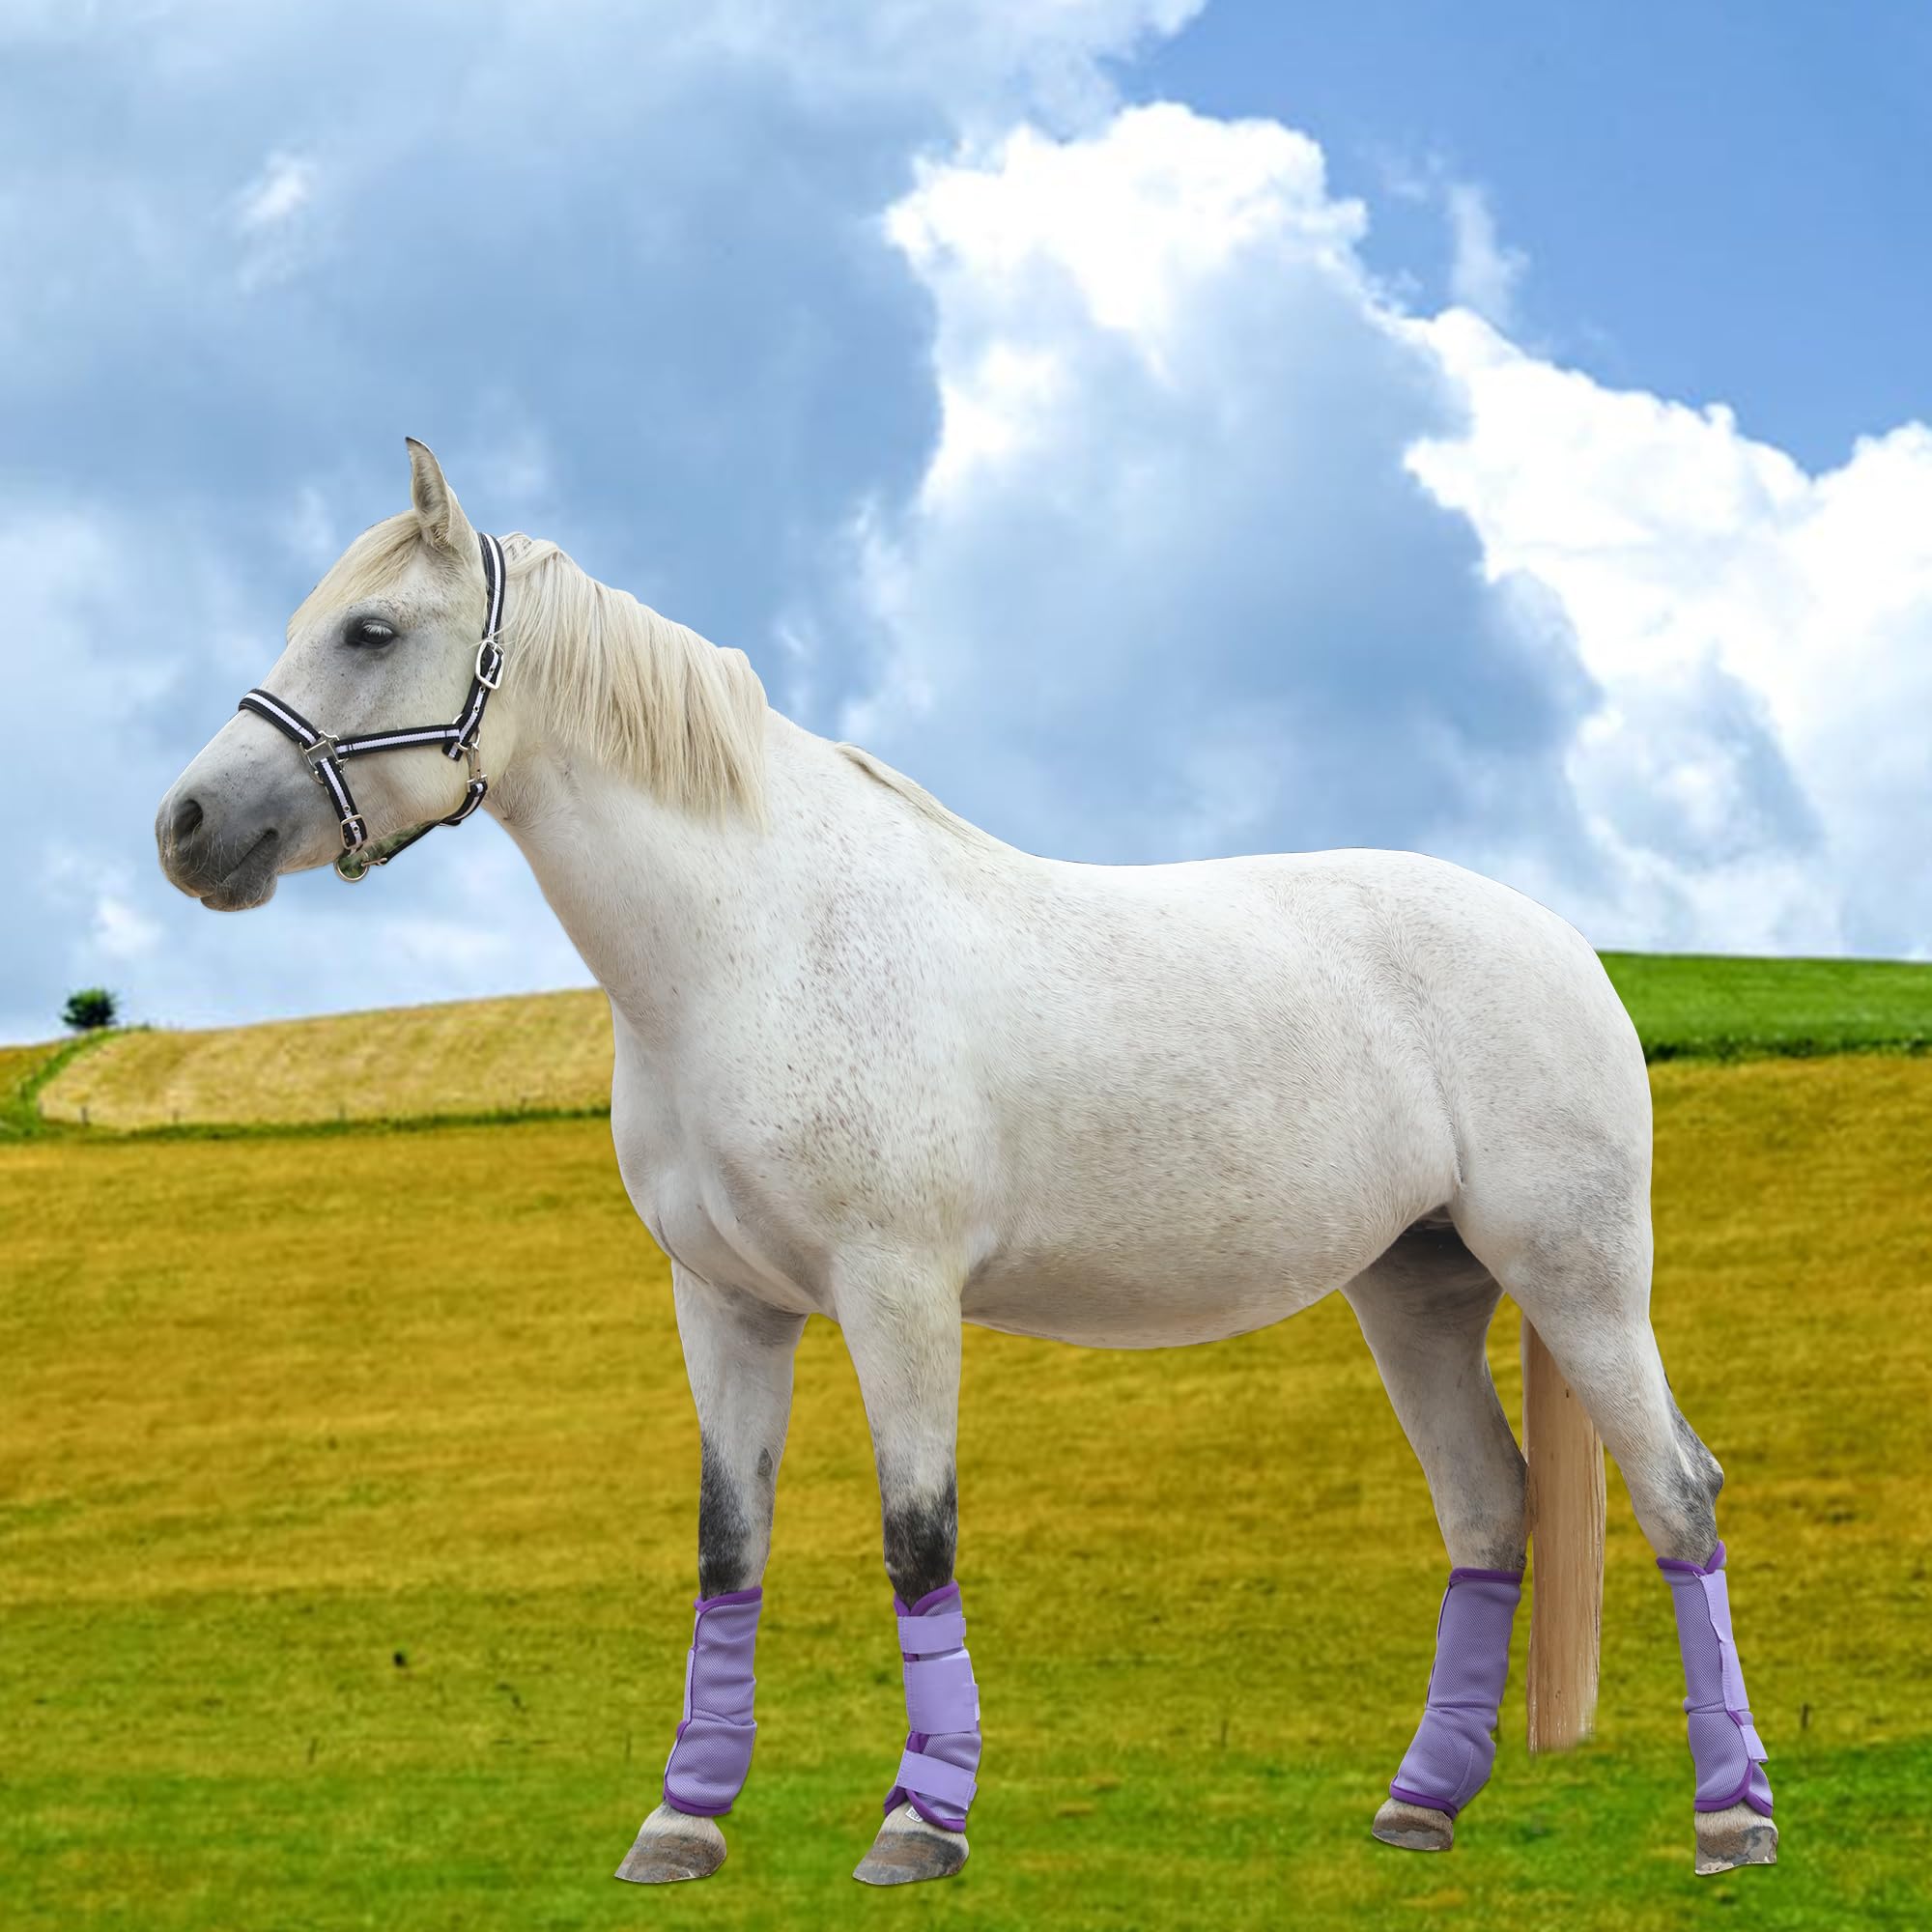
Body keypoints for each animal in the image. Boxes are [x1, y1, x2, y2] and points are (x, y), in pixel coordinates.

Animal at [154, 441, 1776, 1884]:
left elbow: (915, 1536)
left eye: (371, 631)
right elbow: (728, 1547)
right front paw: (682, 1825)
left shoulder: (897, 1294)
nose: (187, 826)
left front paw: (919, 1825)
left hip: (1576, 1278)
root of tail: (1563, 944)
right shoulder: (724, 1306)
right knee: (1492, 1508)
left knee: (1679, 1494)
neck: (757, 943)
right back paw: (1420, 1808)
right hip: (1418, 1292)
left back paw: (1732, 1824)